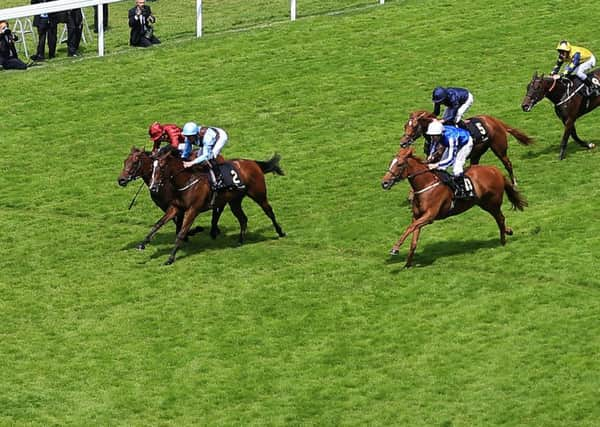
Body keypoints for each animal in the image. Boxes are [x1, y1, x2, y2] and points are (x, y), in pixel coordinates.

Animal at [141, 149, 286, 266]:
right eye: (152, 168)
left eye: (162, 167)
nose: (153, 186)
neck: (187, 180)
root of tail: (252, 163)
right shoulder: (176, 207)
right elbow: (158, 224)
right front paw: (143, 243)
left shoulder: (192, 210)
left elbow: (181, 233)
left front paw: (170, 258)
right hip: (234, 201)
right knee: (243, 219)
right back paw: (240, 241)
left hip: (259, 195)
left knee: (269, 212)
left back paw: (280, 232)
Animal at [380, 147, 524, 268]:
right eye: (390, 163)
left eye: (399, 164)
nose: (384, 183)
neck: (426, 185)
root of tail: (495, 170)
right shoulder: (417, 216)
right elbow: (413, 238)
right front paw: (408, 263)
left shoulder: (429, 216)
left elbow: (410, 228)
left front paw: (395, 248)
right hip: (484, 203)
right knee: (500, 219)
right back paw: (508, 231)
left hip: (492, 203)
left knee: (500, 218)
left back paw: (503, 240)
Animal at [400, 110, 532, 186]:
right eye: (405, 125)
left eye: (415, 126)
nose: (403, 143)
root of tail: (495, 121)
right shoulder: (431, 158)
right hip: (477, 153)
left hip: (499, 149)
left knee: (507, 163)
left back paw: (514, 182)